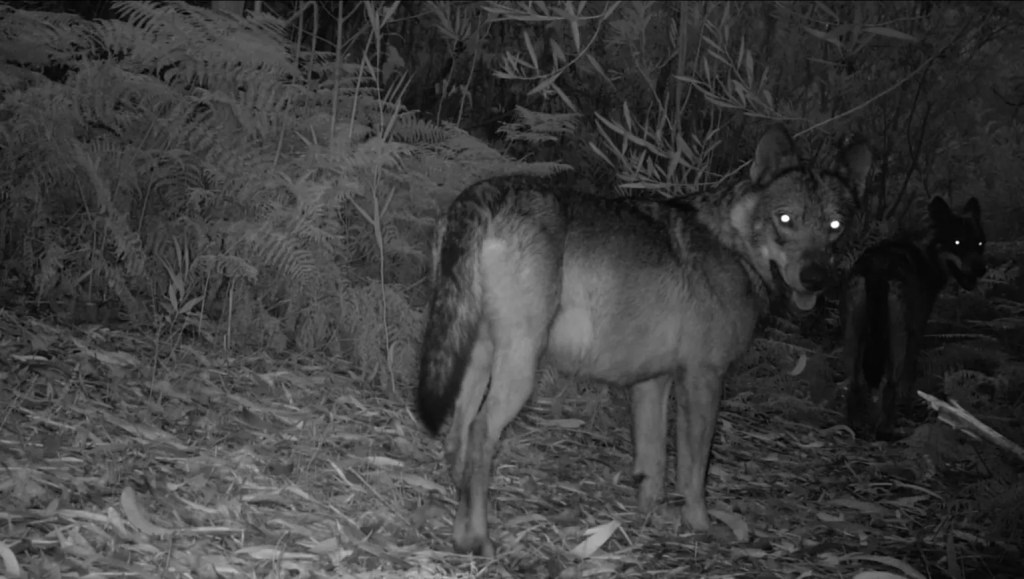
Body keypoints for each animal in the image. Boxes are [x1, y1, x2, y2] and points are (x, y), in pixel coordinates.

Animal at [416, 126, 871, 556]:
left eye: (835, 225)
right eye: (786, 219)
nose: (815, 278)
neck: (734, 244)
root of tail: (481, 194)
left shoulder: (652, 383)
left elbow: (652, 461)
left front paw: (652, 516)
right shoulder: (703, 380)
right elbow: (693, 471)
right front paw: (700, 526)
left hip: (477, 357)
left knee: (458, 437)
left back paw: (459, 516)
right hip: (520, 366)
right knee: (479, 433)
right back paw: (475, 539)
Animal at [843, 196, 986, 441]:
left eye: (979, 244)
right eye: (957, 243)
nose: (981, 269)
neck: (926, 254)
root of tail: (878, 269)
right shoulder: (916, 330)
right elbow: (908, 380)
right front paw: (910, 406)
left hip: (854, 336)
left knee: (855, 383)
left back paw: (855, 427)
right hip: (897, 341)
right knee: (889, 385)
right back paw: (888, 431)